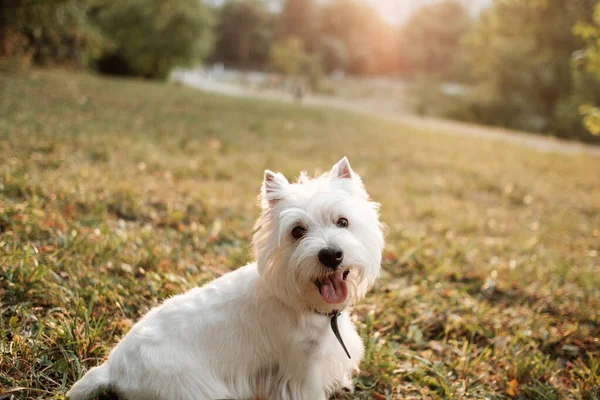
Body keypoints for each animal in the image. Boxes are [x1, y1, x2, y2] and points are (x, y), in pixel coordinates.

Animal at [67, 158, 384, 398]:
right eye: (297, 231)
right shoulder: (302, 370)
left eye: (342, 221)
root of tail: (112, 368)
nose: (331, 255)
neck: (305, 305)